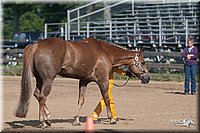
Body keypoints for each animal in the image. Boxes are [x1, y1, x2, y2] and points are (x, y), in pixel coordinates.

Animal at [14, 37, 149, 128]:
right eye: (143, 62)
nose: (147, 78)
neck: (105, 52)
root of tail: (36, 45)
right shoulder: (103, 80)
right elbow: (106, 98)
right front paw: (112, 119)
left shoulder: (84, 81)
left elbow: (81, 100)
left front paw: (76, 121)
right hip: (48, 79)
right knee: (42, 97)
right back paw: (43, 122)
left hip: (39, 79)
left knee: (37, 94)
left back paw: (48, 118)